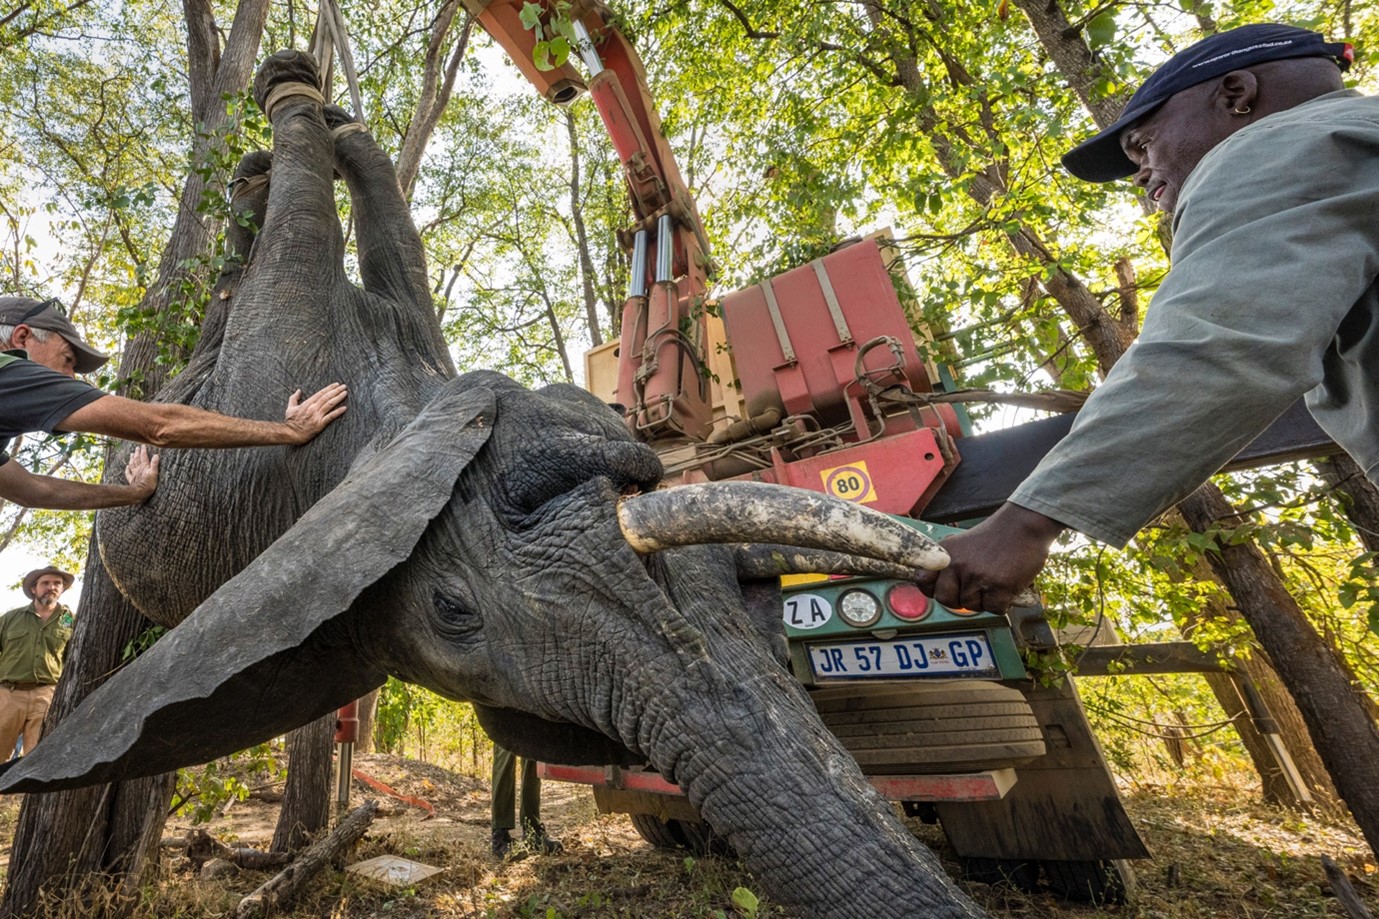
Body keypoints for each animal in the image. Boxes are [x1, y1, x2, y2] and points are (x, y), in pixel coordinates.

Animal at [0, 51, 992, 916]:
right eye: (452, 611)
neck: (405, 419)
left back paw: (280, 150)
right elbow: (310, 235)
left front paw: (320, 116)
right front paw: (296, 95)